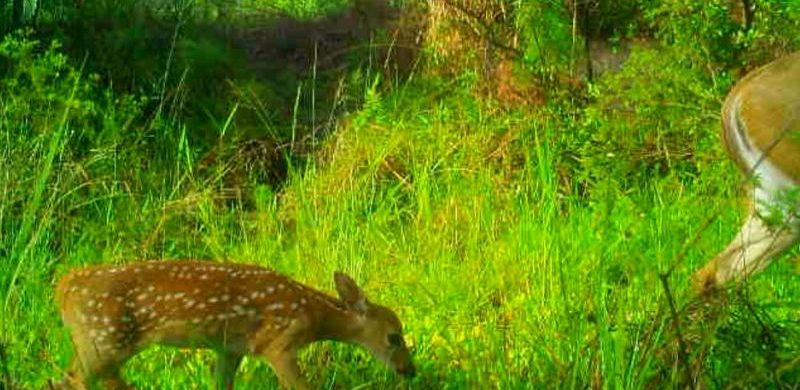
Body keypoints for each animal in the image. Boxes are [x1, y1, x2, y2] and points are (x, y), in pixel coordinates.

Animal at [55, 260, 416, 388]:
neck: (313, 315)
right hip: (105, 337)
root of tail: (63, 287)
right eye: (394, 337)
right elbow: (302, 388)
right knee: (72, 379)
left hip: (99, 342)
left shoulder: (232, 348)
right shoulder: (277, 343)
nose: (409, 371)